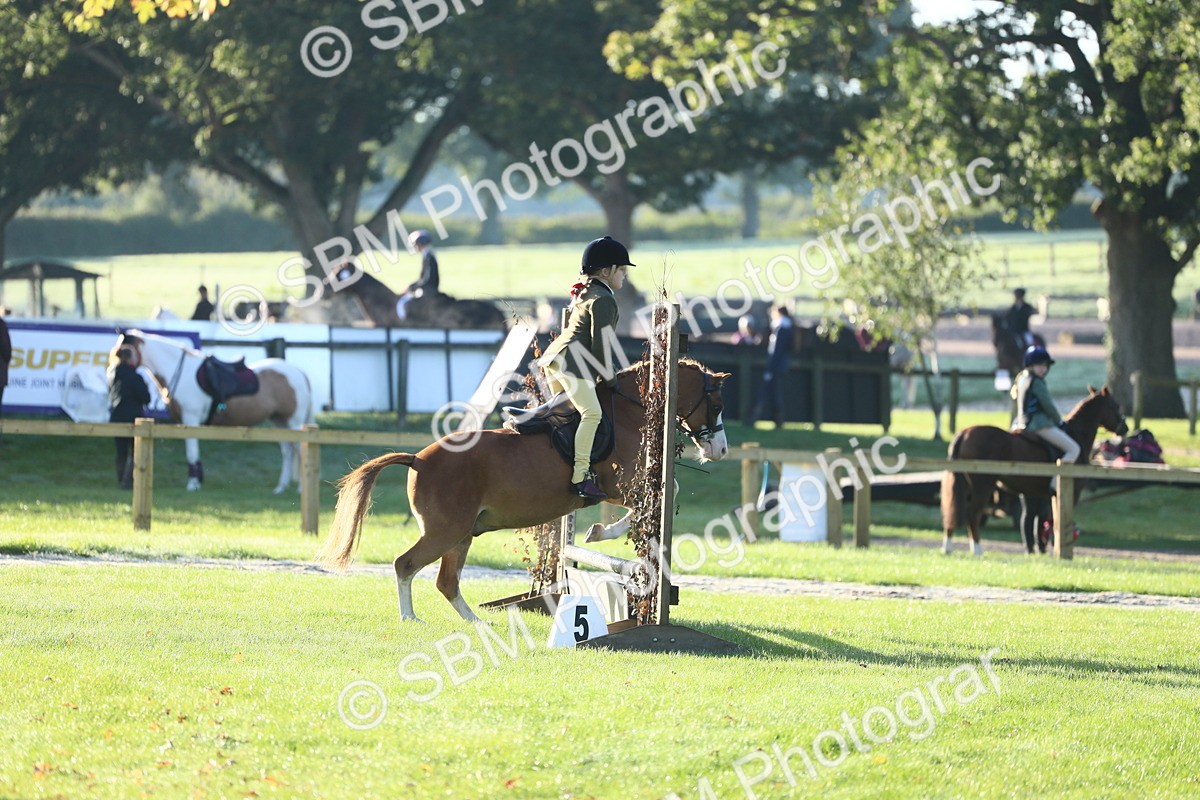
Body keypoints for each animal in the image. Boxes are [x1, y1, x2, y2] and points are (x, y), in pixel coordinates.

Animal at [114, 330, 315, 493]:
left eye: (122, 351)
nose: (114, 373)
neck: (182, 372)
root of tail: (299, 372)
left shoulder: (191, 420)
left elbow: (192, 453)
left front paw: (192, 484)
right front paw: (197, 482)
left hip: (294, 422)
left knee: (300, 450)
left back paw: (300, 489)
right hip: (279, 421)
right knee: (288, 451)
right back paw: (281, 487)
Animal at [316, 358, 731, 623]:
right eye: (717, 403)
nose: (720, 450)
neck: (629, 413)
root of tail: (418, 458)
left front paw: (599, 531)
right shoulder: (623, 486)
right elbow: (666, 490)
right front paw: (601, 532)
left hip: (461, 535)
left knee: (446, 581)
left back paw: (475, 623)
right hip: (445, 531)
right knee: (406, 565)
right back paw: (410, 618)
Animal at [941, 386, 1128, 555]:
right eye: (1115, 405)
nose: (1125, 428)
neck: (1076, 436)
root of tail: (964, 433)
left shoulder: (1053, 496)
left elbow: (1054, 521)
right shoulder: (1072, 493)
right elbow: (1059, 522)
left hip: (965, 486)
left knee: (953, 511)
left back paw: (948, 548)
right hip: (983, 486)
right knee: (972, 514)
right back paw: (978, 550)